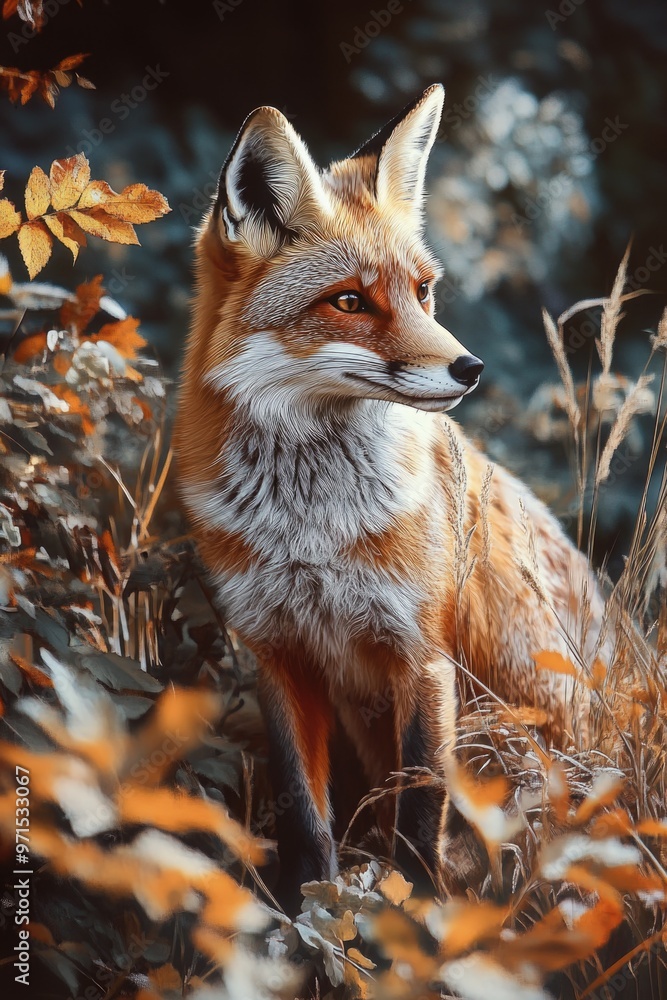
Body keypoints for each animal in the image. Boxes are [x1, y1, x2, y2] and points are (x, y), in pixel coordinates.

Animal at [175, 84, 606, 912]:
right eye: (348, 301)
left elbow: (420, 805)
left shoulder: (421, 657)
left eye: (422, 291)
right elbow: (304, 815)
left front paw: (413, 916)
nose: (470, 368)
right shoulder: (276, 654)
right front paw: (306, 915)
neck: (307, 527)